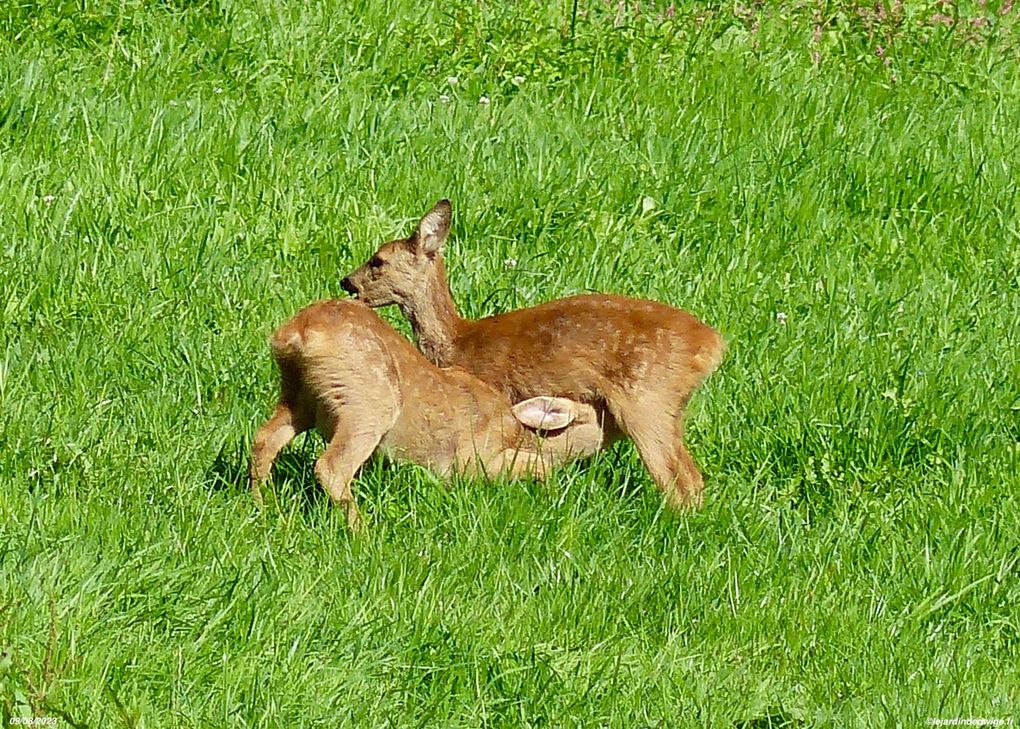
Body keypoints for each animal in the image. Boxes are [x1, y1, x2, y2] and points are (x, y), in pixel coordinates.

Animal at [250, 299, 607, 526]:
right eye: (593, 415)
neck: (520, 434)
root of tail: (299, 333)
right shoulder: (476, 461)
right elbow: (540, 467)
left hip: (297, 396)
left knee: (264, 439)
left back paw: (262, 507)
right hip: (366, 405)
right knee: (332, 466)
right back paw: (361, 531)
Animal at [342, 197, 726, 507]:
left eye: (378, 261)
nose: (346, 281)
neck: (458, 340)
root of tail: (711, 344)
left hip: (647, 400)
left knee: (682, 479)